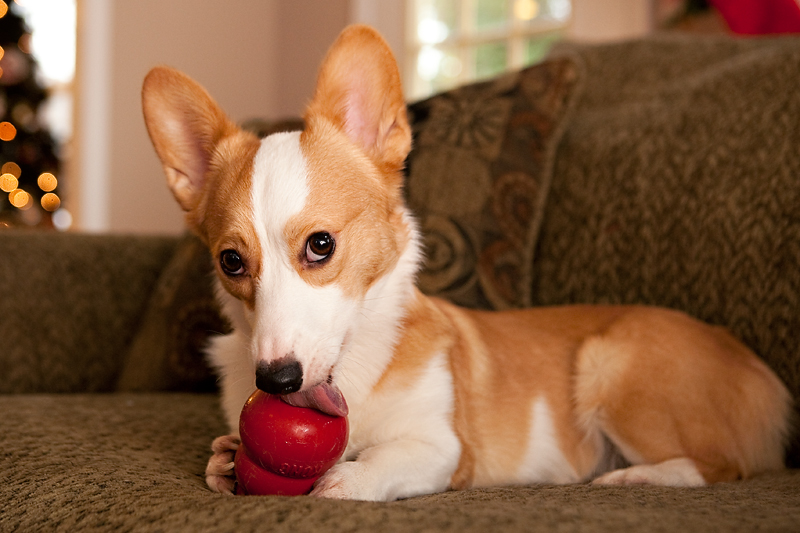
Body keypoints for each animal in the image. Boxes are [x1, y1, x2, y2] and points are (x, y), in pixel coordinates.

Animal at [142, 23, 788, 498]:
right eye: (231, 261)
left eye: (320, 245)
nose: (276, 380)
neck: (355, 369)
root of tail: (764, 375)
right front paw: (227, 462)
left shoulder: (439, 448)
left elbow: (365, 470)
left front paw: (341, 479)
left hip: (611, 366)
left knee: (719, 465)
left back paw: (634, 478)